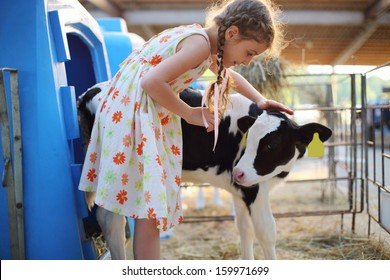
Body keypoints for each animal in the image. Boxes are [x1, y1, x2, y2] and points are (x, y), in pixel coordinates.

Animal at [78, 84, 332, 260]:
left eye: (273, 144)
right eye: (250, 139)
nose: (238, 172)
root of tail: (91, 91)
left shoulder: (240, 190)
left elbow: (244, 229)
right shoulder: (254, 189)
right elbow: (266, 232)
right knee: (111, 220)